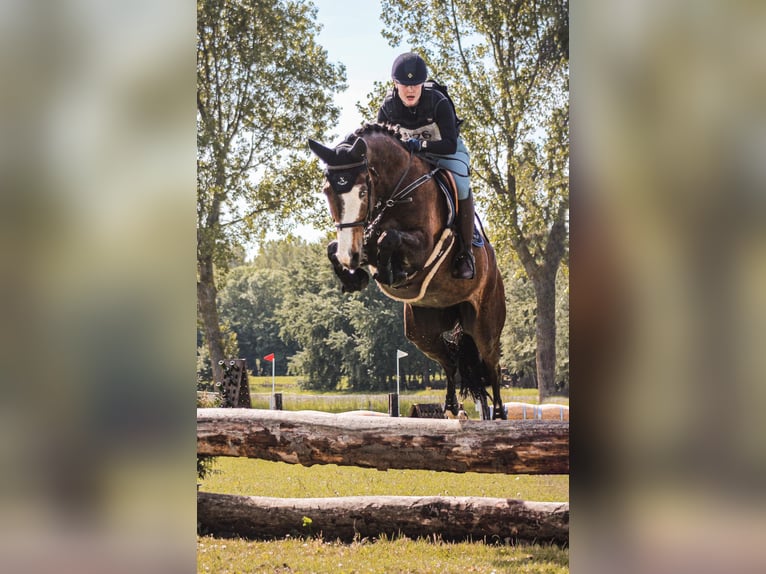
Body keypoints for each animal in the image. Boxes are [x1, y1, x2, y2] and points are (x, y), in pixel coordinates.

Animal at [308, 124, 508, 420]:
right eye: (327, 191)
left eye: (363, 192)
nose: (350, 257)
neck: (397, 191)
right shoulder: (363, 239)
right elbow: (335, 247)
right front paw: (355, 277)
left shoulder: (424, 246)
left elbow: (389, 238)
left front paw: (391, 273)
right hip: (422, 331)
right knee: (450, 360)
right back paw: (450, 407)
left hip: (485, 324)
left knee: (492, 364)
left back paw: (499, 414)